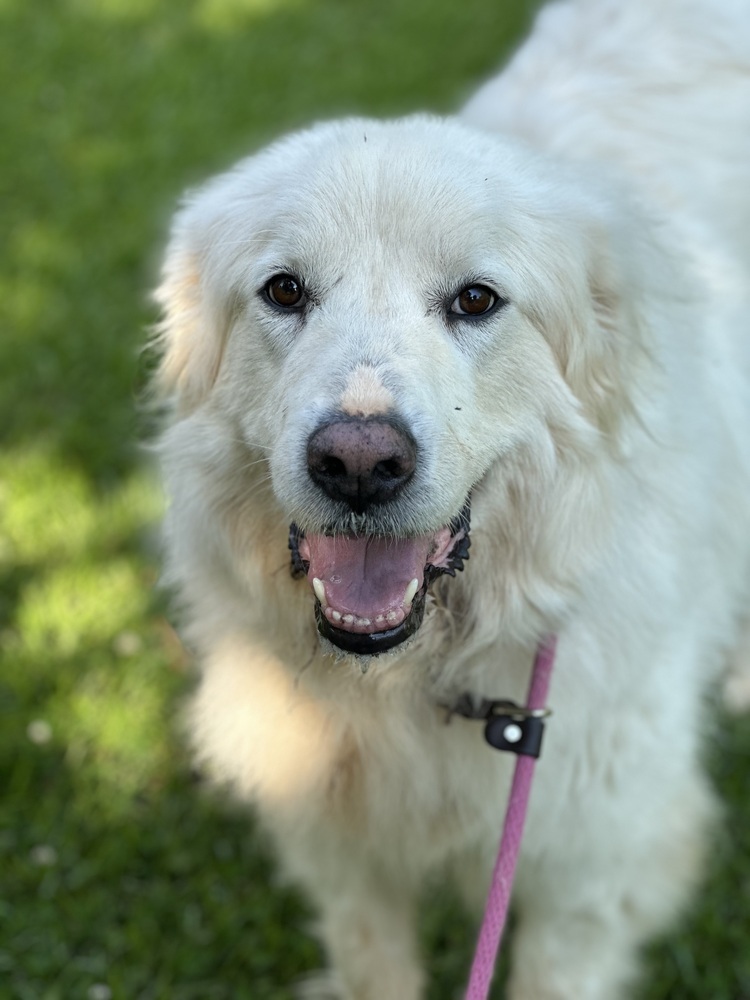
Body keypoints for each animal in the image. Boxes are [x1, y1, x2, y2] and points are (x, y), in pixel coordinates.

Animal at [153, 1, 750, 992]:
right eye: (284, 290)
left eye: (476, 300)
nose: (359, 463)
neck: (421, 678)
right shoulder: (340, 844)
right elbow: (372, 961)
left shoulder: (592, 864)